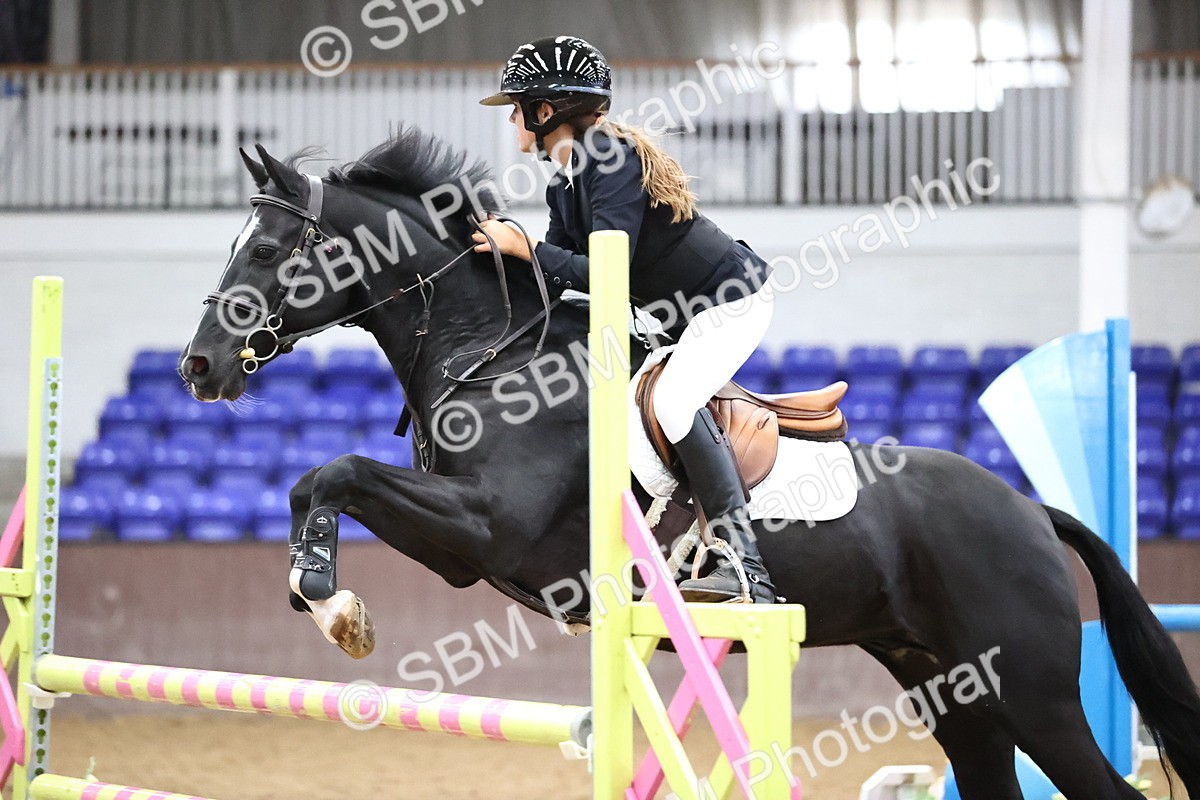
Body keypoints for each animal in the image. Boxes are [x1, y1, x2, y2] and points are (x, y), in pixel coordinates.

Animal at [178, 129, 1200, 799]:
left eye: (265, 250)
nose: (198, 367)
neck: (493, 351)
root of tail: (1030, 512)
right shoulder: (467, 545)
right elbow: (318, 478)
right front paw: (329, 599)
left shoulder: (488, 526)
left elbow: (338, 471)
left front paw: (330, 599)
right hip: (955, 691)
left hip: (1034, 693)